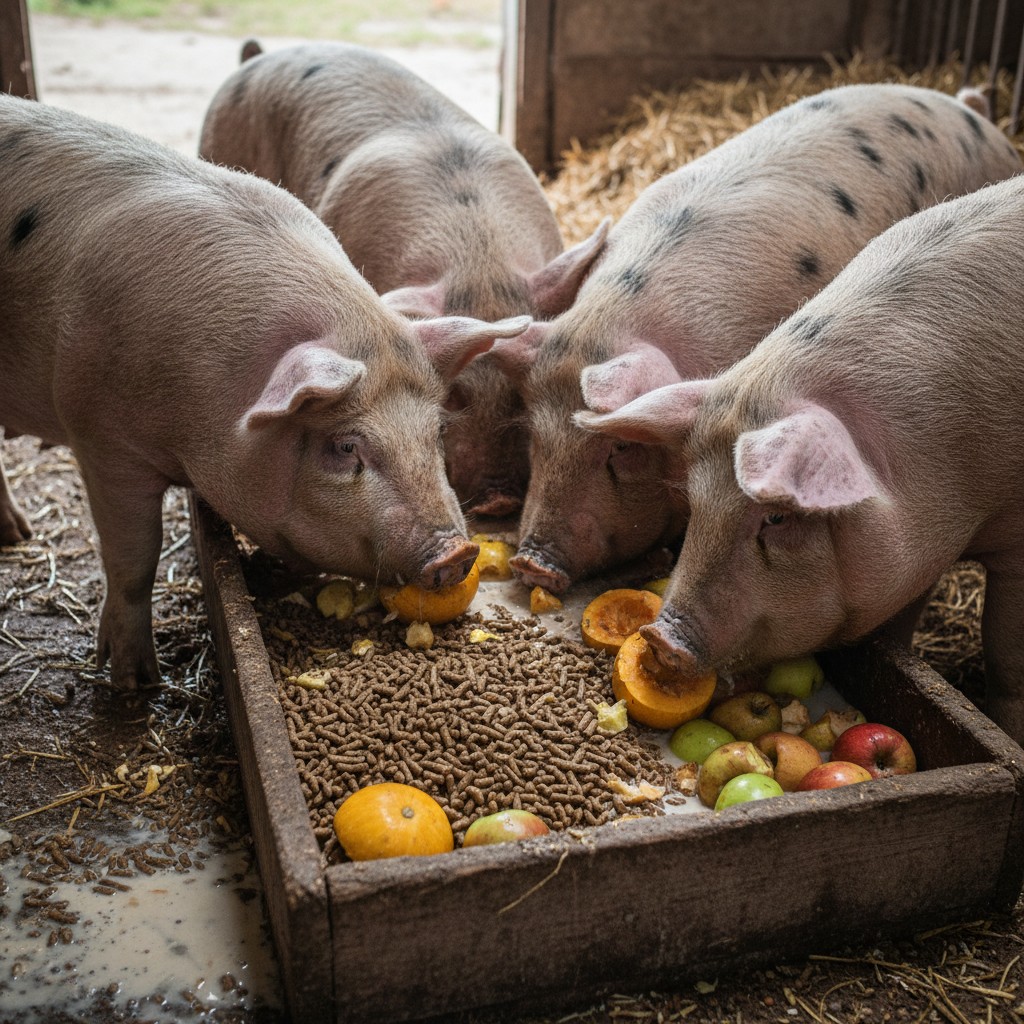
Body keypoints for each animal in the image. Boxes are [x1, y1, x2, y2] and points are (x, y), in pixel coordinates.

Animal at [0, 94, 530, 691]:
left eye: (437, 431)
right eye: (345, 446)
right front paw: (135, 683)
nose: (457, 551)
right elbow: (134, 557)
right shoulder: (101, 440)